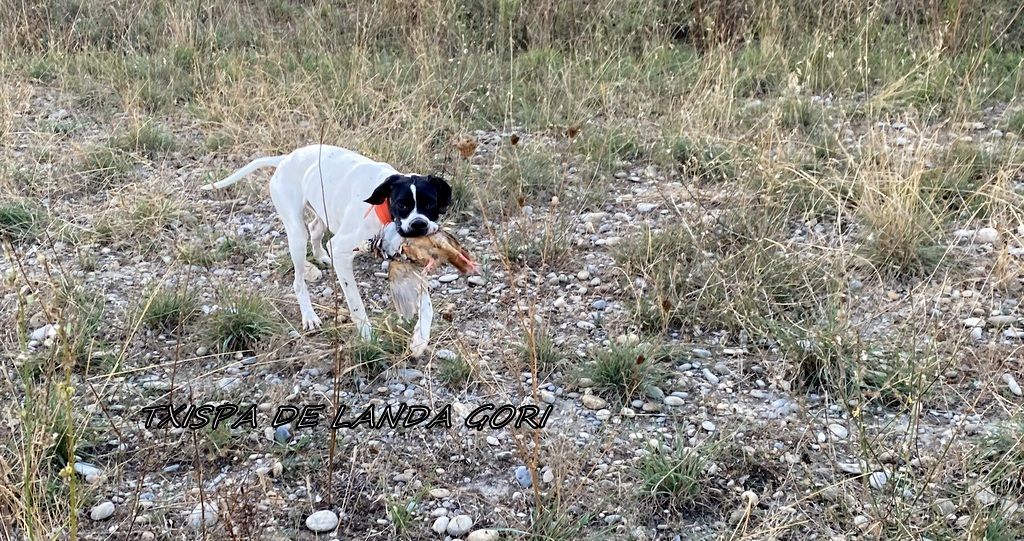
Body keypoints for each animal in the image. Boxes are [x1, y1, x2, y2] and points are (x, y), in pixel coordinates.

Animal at [201, 144, 450, 354]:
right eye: (402, 205)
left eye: (430, 204)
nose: (419, 225)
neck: (384, 209)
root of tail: (286, 158)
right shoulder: (341, 251)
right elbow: (356, 305)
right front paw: (366, 337)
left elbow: (427, 306)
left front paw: (420, 338)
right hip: (296, 235)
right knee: (298, 279)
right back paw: (309, 315)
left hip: (323, 211)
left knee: (315, 229)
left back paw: (321, 257)